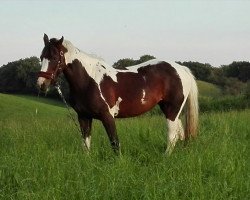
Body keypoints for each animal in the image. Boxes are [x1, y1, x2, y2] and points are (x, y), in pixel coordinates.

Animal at [36, 33, 198, 154]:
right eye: (41, 57)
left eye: (55, 58)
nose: (41, 84)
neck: (88, 80)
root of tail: (181, 69)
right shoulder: (83, 117)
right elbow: (86, 145)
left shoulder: (107, 116)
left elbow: (114, 143)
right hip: (169, 109)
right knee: (179, 134)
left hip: (172, 110)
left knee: (172, 135)